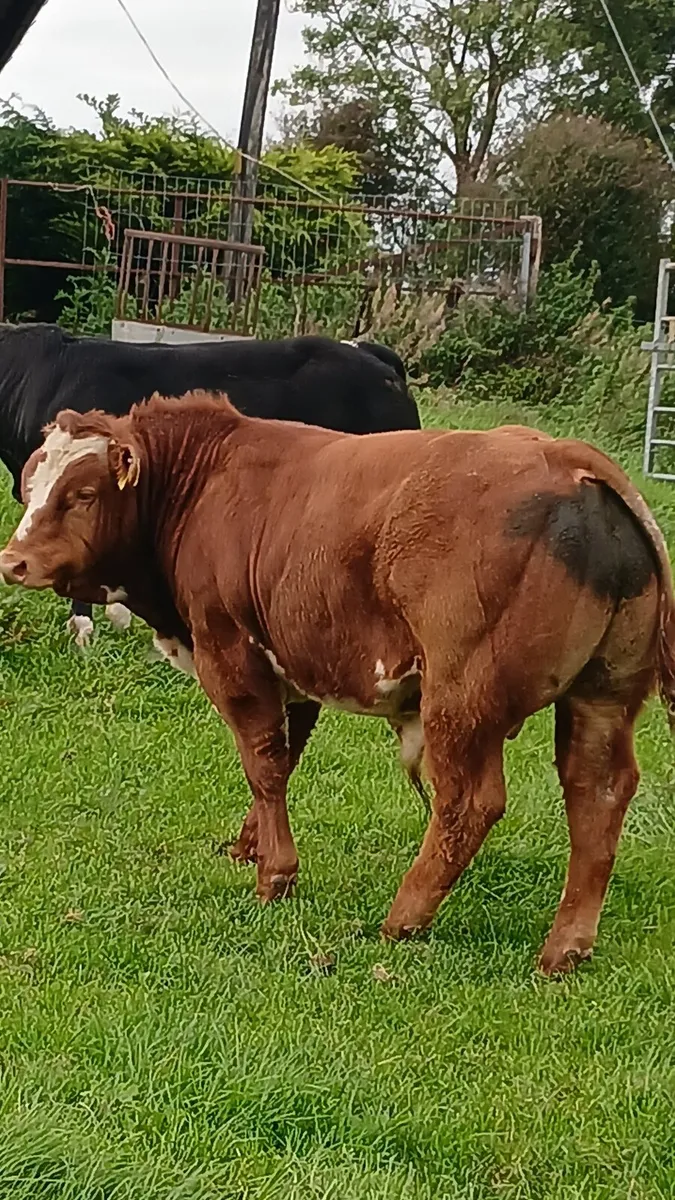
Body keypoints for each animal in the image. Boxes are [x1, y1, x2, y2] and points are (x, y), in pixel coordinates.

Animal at [1, 391, 674, 975]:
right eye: (29, 486)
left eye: (83, 493)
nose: (13, 562)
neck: (205, 483)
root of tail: (568, 461)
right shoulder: (292, 666)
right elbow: (282, 758)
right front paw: (249, 845)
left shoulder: (230, 653)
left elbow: (263, 762)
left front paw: (274, 875)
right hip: (602, 696)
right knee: (598, 792)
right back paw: (566, 947)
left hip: (462, 699)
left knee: (470, 802)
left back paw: (404, 917)